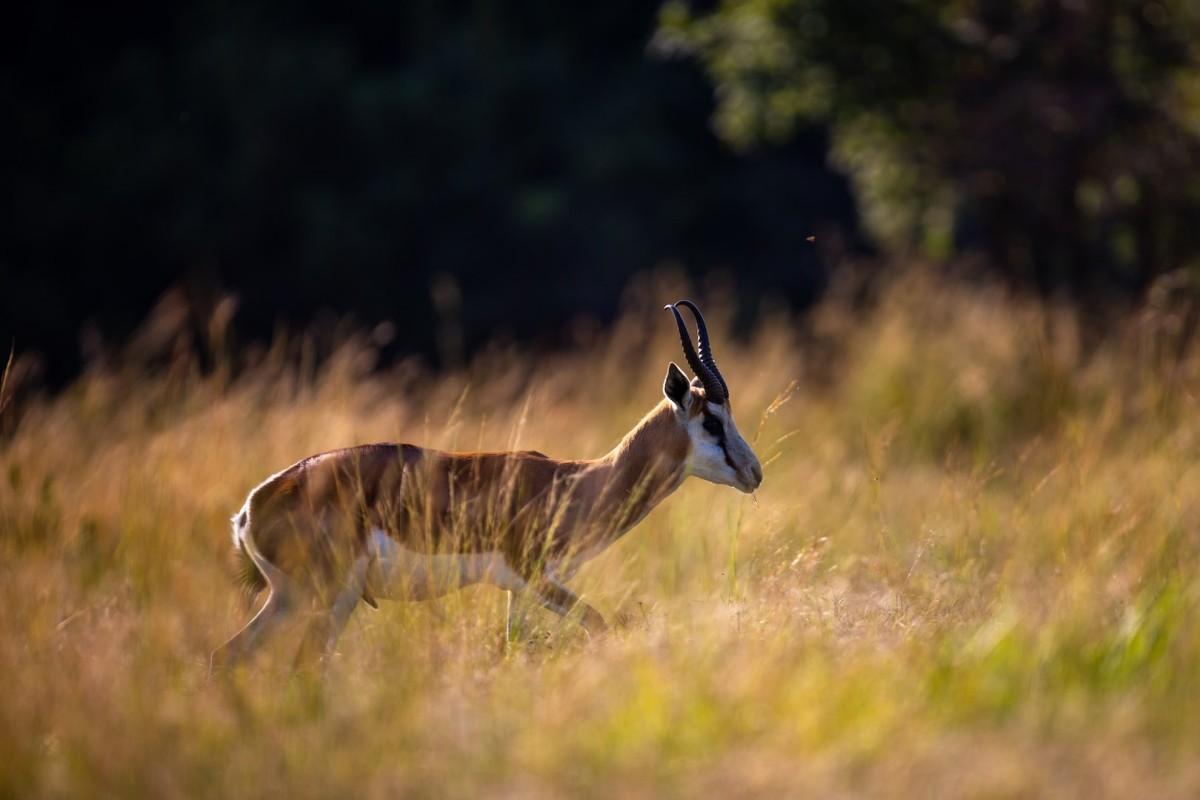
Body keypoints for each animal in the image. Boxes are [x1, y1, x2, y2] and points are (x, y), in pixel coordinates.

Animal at [208, 299, 758, 671]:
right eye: (710, 419)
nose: (754, 472)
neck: (575, 482)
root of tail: (251, 508)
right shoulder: (536, 577)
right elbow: (601, 624)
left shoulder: (520, 590)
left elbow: (513, 646)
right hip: (324, 596)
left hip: (293, 599)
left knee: (227, 655)